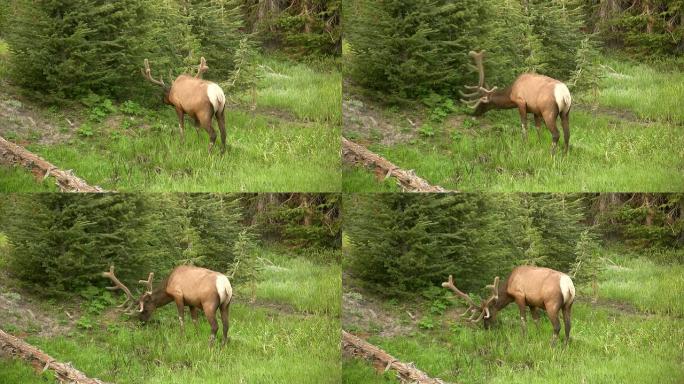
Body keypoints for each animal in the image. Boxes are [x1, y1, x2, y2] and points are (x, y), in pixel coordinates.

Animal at [101, 266, 234, 346]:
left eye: (144, 309)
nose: (141, 322)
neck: (168, 285)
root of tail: (225, 285)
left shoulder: (178, 295)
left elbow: (181, 318)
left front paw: (182, 337)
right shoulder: (192, 303)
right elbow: (195, 321)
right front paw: (196, 336)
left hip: (209, 304)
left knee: (215, 326)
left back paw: (210, 346)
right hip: (226, 304)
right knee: (226, 324)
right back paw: (223, 344)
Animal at [444, 268, 576, 344]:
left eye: (486, 315)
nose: (486, 328)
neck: (508, 286)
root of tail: (568, 285)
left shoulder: (520, 296)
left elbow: (523, 320)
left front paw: (523, 338)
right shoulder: (532, 303)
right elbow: (536, 321)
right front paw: (538, 336)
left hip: (551, 304)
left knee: (557, 326)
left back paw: (552, 345)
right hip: (568, 305)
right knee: (568, 324)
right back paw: (565, 344)